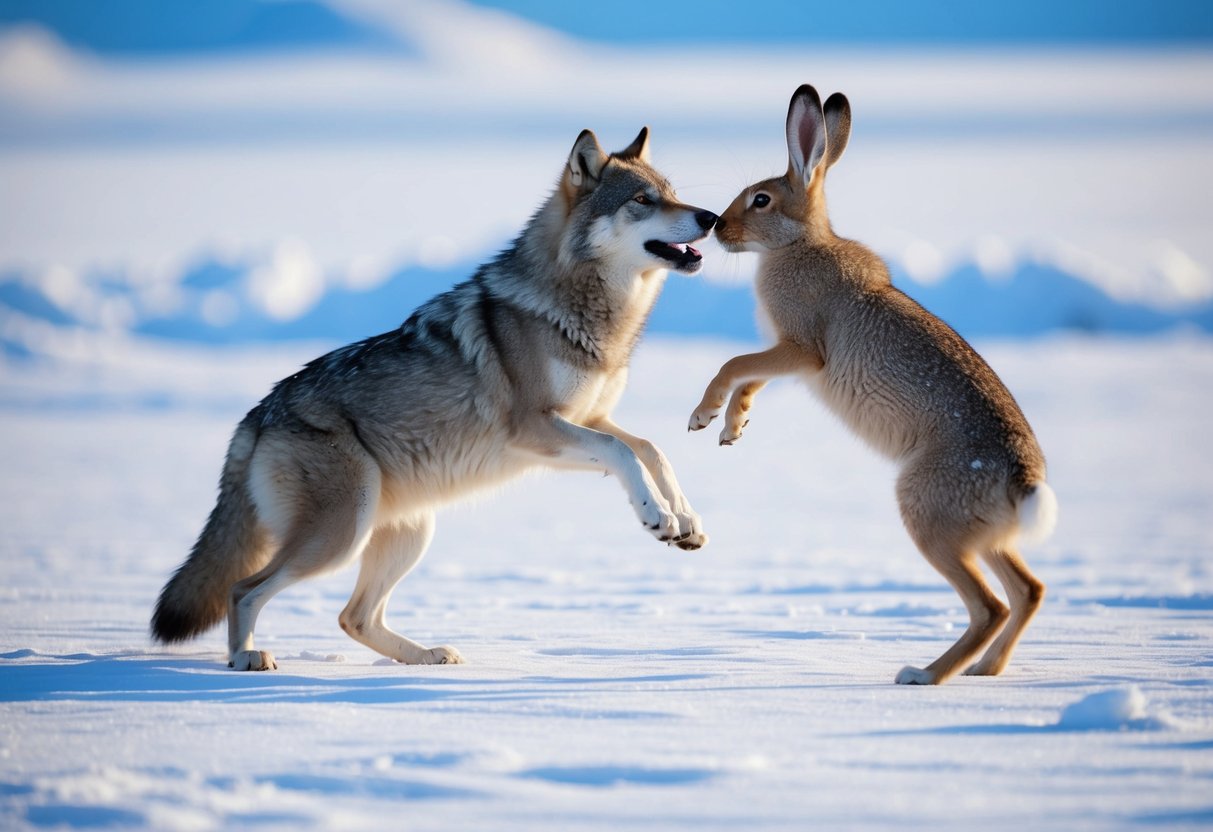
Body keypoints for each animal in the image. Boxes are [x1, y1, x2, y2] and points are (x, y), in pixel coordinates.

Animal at [152, 127, 718, 670]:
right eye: (643, 200)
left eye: (672, 195)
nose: (711, 217)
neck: (583, 313)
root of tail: (257, 414)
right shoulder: (535, 429)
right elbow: (625, 452)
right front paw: (656, 517)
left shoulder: (589, 418)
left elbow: (650, 449)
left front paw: (685, 518)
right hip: (340, 537)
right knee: (243, 589)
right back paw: (246, 657)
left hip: (409, 532)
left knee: (353, 617)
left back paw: (427, 657)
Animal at [690, 84, 1057, 685]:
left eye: (761, 200)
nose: (719, 228)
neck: (798, 244)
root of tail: (1022, 479)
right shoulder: (788, 359)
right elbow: (752, 379)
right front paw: (733, 428)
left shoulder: (802, 350)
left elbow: (734, 364)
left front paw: (705, 416)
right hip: (982, 534)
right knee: (1028, 591)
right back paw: (985, 672)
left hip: (928, 514)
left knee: (990, 606)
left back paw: (923, 675)